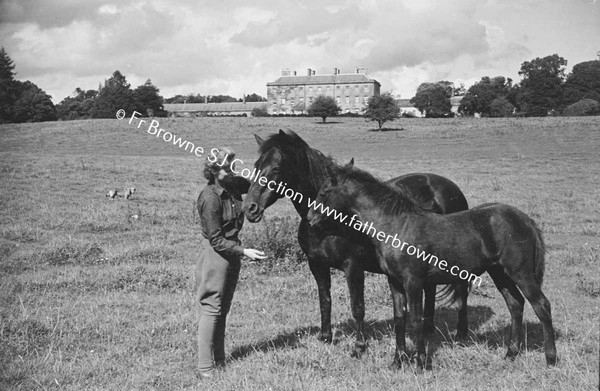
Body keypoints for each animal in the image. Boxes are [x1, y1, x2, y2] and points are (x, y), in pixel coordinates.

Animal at [241, 130, 472, 356]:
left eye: (276, 168)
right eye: (256, 165)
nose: (250, 208)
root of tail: (449, 188)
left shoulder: (353, 266)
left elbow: (357, 307)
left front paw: (360, 346)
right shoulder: (317, 264)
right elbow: (325, 300)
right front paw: (326, 337)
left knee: (462, 291)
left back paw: (461, 334)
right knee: (431, 289)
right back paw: (428, 328)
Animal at [310, 163, 556, 370]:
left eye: (324, 192)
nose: (311, 220)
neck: (397, 226)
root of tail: (526, 219)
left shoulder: (413, 281)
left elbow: (416, 320)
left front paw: (421, 364)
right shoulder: (394, 281)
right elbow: (399, 319)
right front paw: (398, 361)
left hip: (520, 273)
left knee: (542, 305)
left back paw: (550, 358)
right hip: (500, 274)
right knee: (515, 305)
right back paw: (511, 353)